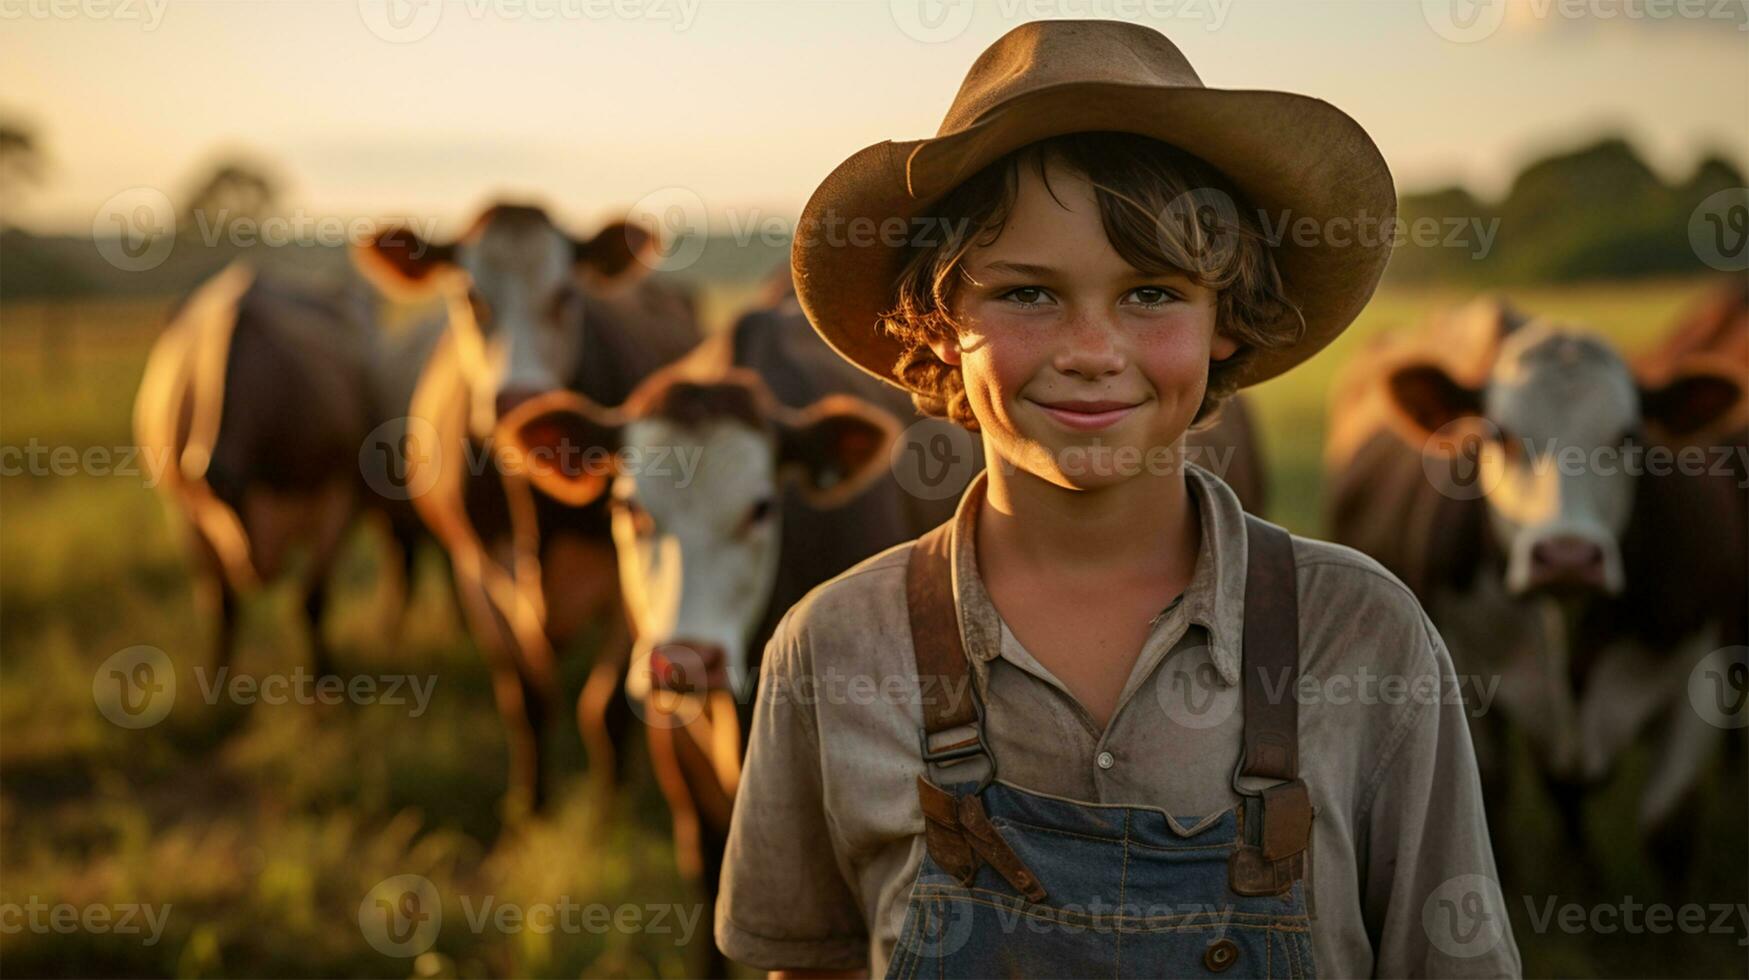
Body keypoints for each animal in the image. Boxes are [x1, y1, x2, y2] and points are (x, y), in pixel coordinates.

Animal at [132, 264, 426, 686]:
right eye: (210, 506)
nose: (246, 565)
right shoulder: (185, 515)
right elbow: (223, 607)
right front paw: (217, 686)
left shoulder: (337, 499)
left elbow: (312, 600)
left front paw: (323, 683)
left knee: (398, 548)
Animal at [351, 203, 699, 815]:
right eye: (471, 297)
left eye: (565, 294)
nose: (518, 399)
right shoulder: (481, 572)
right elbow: (528, 698)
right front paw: (530, 809)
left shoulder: (632, 576)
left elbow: (606, 708)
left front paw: (609, 810)